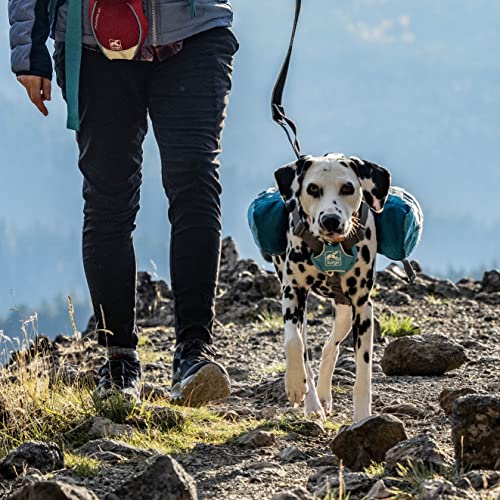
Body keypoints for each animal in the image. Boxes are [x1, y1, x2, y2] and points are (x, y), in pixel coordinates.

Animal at [270, 152, 390, 422]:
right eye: (312, 189)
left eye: (348, 188)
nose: (331, 220)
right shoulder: (292, 294)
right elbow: (293, 343)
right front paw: (295, 383)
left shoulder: (363, 308)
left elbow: (363, 375)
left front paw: (363, 419)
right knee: (305, 350)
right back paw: (313, 403)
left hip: (345, 313)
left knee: (330, 347)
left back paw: (323, 396)